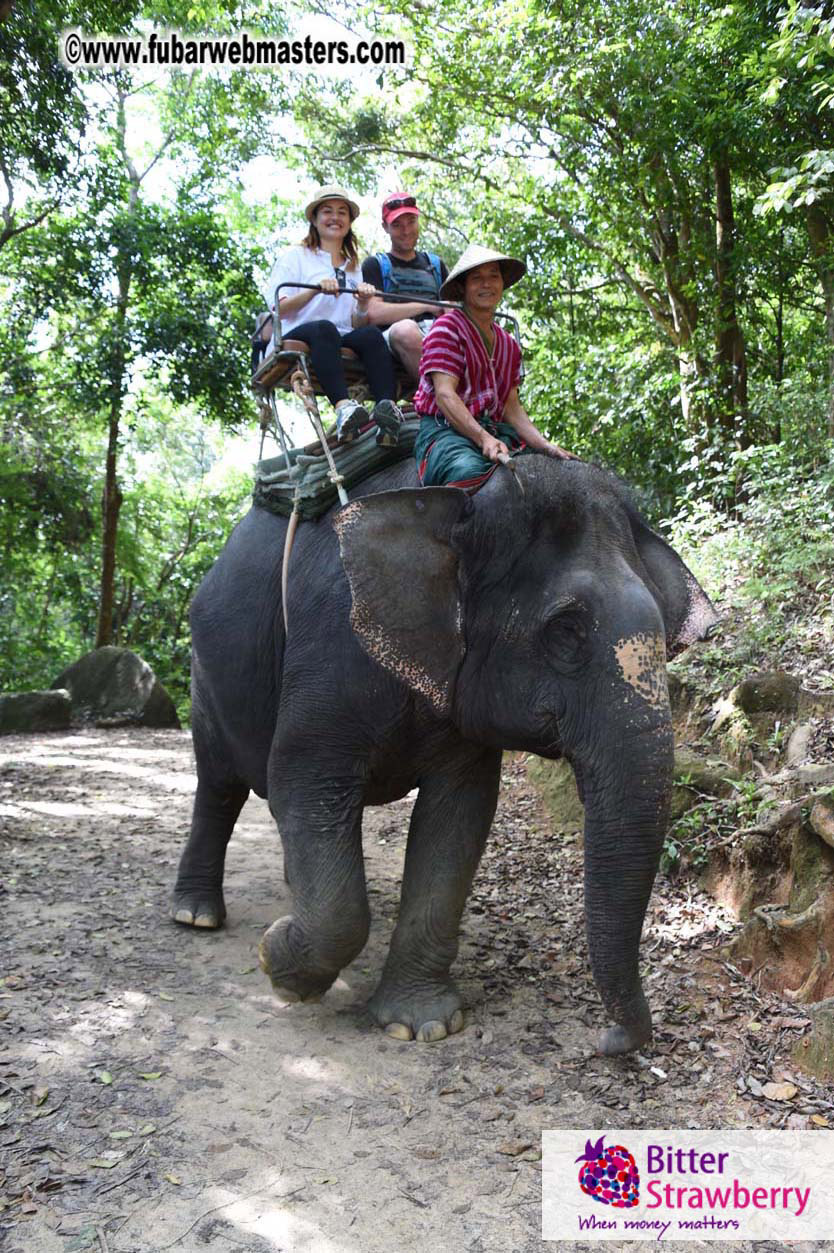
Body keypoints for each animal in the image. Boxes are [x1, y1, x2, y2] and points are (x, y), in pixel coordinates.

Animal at [172, 454, 717, 1055]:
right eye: (565, 630)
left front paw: (420, 1025)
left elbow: (459, 815)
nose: (611, 1040)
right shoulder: (330, 646)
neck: (464, 499)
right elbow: (302, 781)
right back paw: (196, 916)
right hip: (204, 672)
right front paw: (276, 959)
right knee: (218, 784)